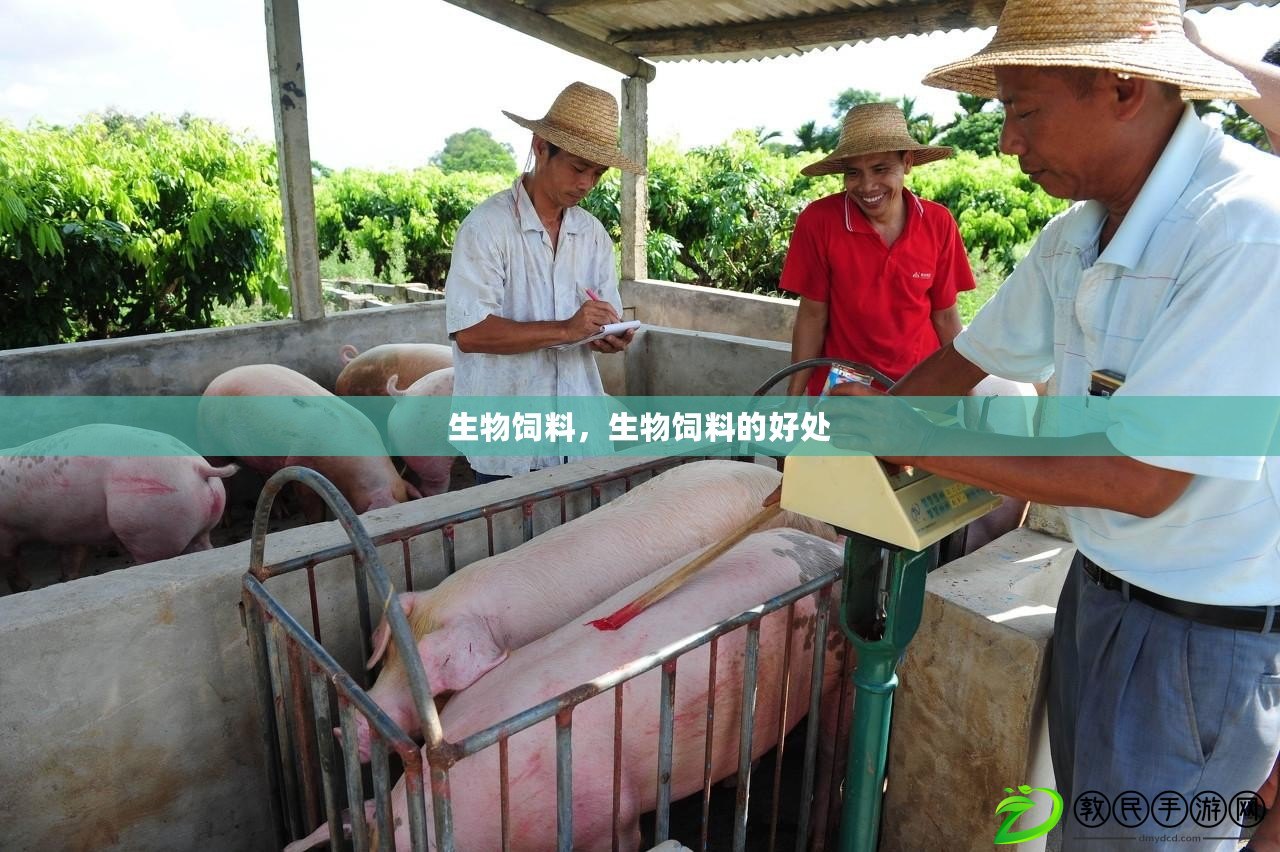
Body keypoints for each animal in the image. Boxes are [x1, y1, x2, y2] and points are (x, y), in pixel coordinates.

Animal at [0, 422, 238, 591]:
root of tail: (198, 467)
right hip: (198, 523)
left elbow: (10, 559)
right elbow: (71, 557)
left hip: (145, 520)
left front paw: (22, 587)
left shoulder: (7, 531)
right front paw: (66, 579)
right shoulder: (69, 528)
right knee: (203, 546)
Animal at [197, 360, 419, 516]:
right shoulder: (300, 464)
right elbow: (312, 509)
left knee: (263, 475)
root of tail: (215, 381)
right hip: (210, 438)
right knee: (222, 478)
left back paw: (282, 514)